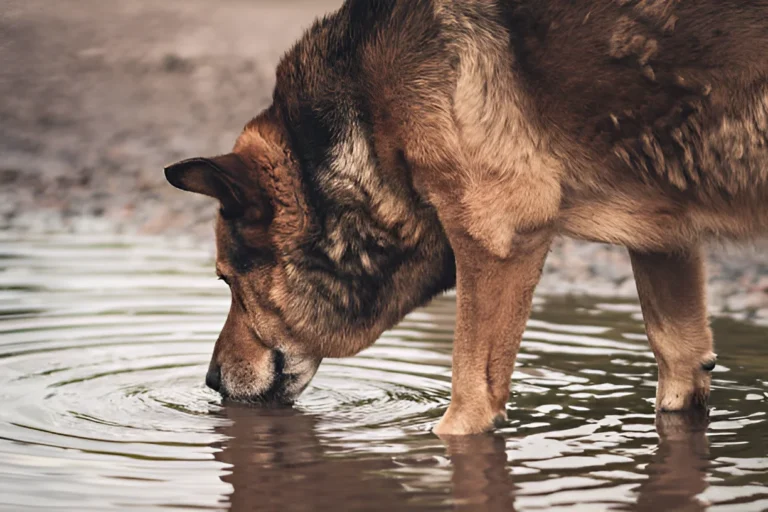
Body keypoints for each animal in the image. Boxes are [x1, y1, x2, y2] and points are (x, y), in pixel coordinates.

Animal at [164, 0, 768, 434]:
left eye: (226, 280)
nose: (210, 382)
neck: (369, 122)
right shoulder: (664, 240)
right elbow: (680, 361)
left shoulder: (496, 243)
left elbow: (467, 403)